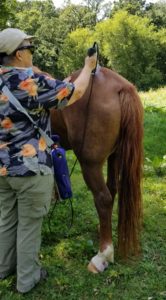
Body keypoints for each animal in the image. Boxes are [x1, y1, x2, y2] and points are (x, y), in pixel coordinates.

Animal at [50, 66, 143, 274]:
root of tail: (120, 87)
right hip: (114, 156)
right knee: (112, 190)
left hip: (90, 164)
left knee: (103, 197)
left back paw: (102, 256)